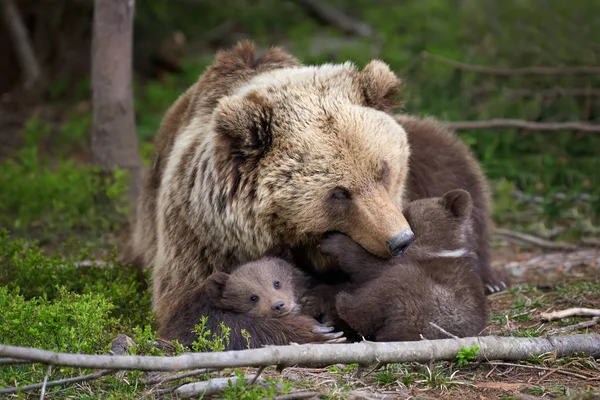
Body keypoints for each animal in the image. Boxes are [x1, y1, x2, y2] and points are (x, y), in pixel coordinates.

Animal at [126, 39, 506, 346]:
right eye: (340, 193)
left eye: (383, 170)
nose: (400, 240)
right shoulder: (202, 232)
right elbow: (196, 314)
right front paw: (313, 328)